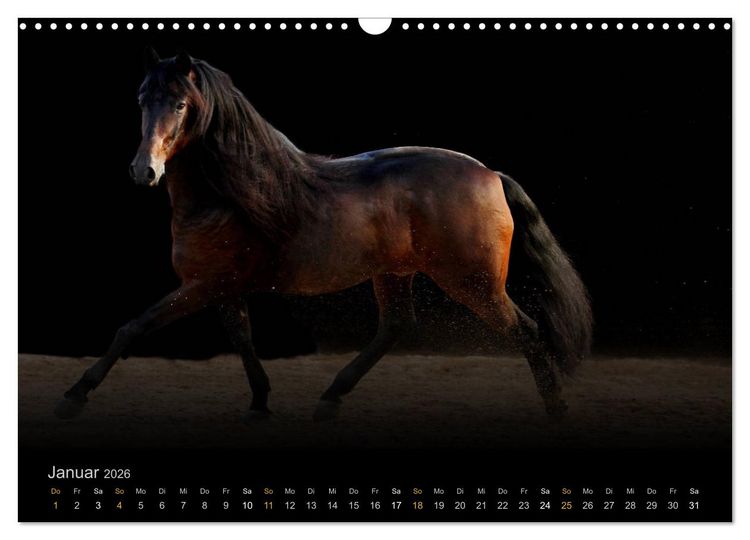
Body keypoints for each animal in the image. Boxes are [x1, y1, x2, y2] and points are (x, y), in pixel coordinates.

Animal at [54, 48, 592, 423]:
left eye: (182, 104)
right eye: (142, 100)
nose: (143, 171)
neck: (230, 196)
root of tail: (490, 174)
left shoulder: (202, 287)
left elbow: (134, 327)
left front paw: (73, 397)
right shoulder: (222, 289)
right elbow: (243, 340)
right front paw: (259, 403)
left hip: (472, 283)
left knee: (526, 330)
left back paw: (558, 411)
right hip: (395, 274)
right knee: (394, 327)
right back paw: (330, 399)